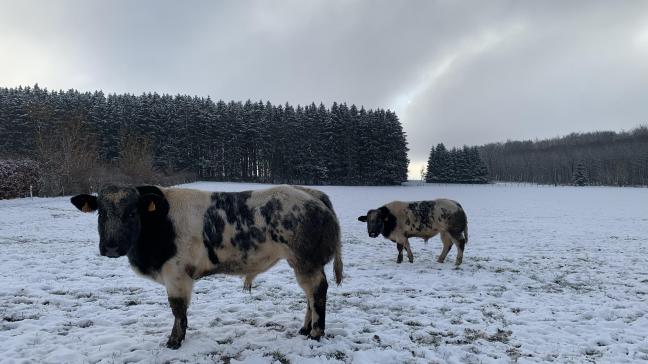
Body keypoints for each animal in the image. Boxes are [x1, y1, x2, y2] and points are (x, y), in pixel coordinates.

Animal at [69, 186, 344, 348]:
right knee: (309, 295)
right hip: (303, 262)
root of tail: (314, 195)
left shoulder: (176, 274)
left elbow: (178, 309)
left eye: (132, 213)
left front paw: (174, 340)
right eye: (100, 213)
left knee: (317, 292)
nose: (111, 247)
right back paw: (304, 328)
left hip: (306, 261)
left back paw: (316, 333)